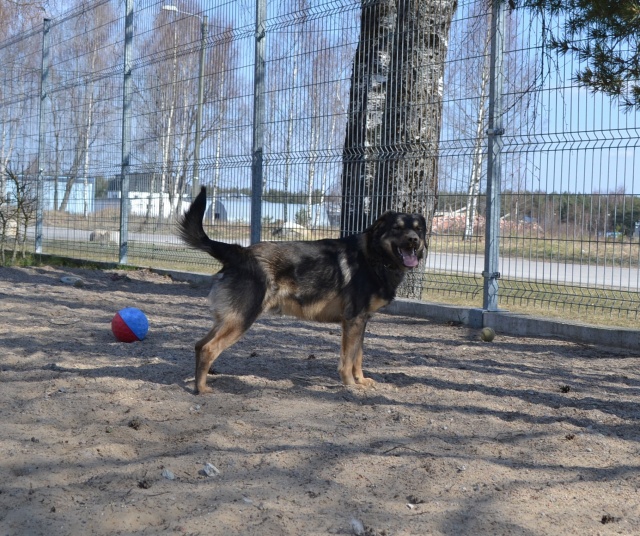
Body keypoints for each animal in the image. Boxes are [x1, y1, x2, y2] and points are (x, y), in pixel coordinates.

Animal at [178, 187, 427, 394]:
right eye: (397, 228)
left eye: (419, 229)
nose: (414, 240)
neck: (375, 257)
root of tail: (239, 252)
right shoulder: (353, 321)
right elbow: (348, 359)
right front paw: (349, 384)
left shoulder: (362, 321)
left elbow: (358, 356)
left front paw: (360, 380)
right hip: (242, 319)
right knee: (208, 348)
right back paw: (202, 389)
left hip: (228, 320)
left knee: (199, 345)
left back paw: (198, 383)